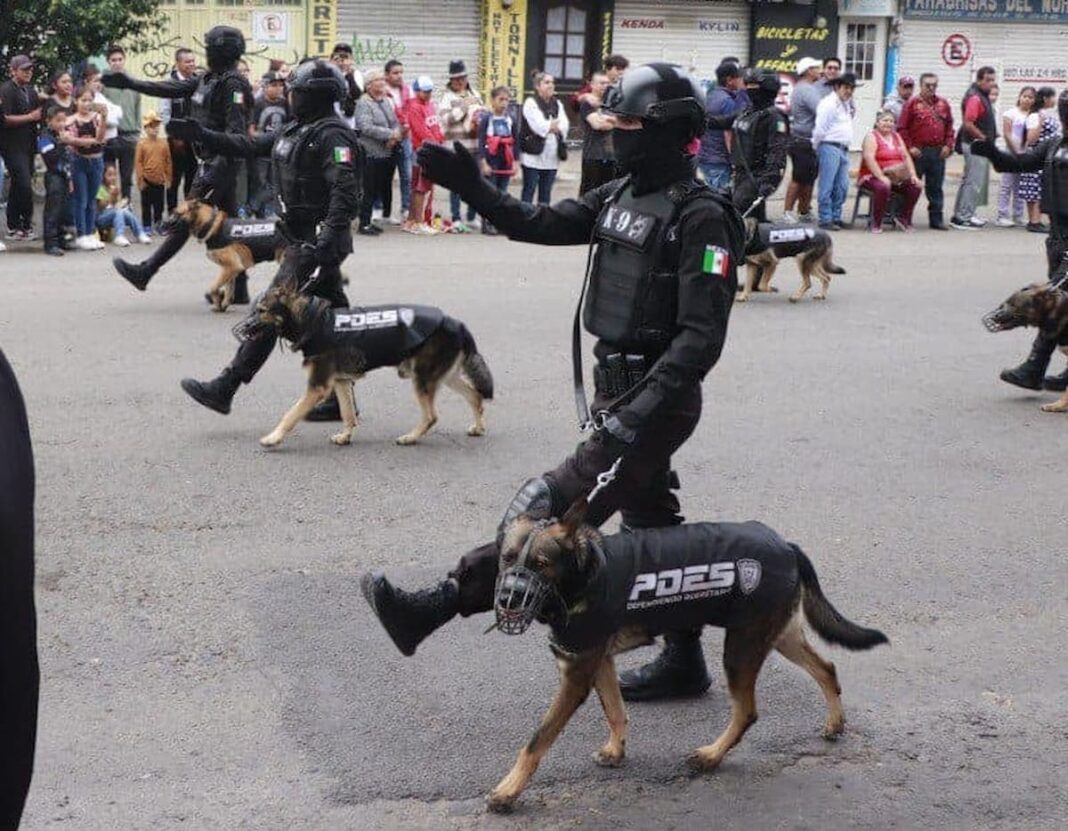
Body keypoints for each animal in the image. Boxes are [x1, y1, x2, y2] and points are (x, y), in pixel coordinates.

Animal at [254, 281, 495, 446]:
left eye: (261, 311)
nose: (247, 327)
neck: (313, 320)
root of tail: (456, 323)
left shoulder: (318, 387)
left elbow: (290, 415)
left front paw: (273, 437)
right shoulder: (341, 382)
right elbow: (348, 414)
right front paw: (345, 436)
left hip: (422, 380)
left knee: (431, 416)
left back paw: (410, 438)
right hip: (444, 377)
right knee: (475, 396)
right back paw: (478, 427)